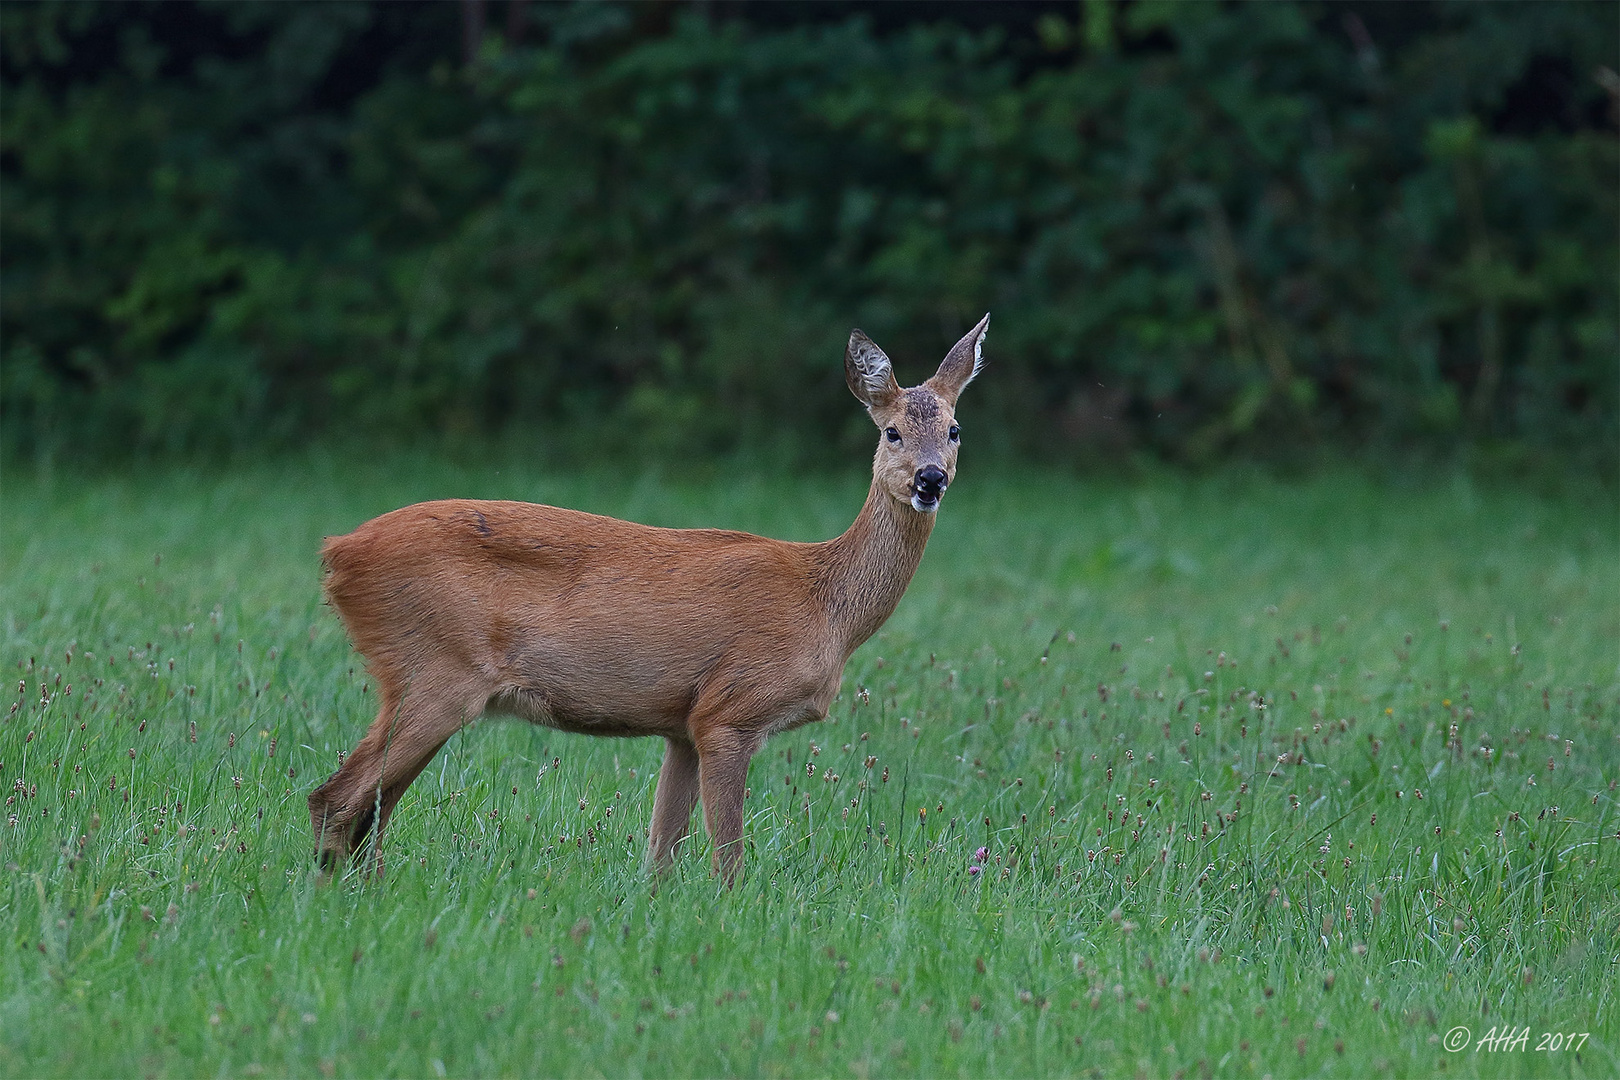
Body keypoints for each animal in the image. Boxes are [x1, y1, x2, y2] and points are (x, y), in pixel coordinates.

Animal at [304, 310, 984, 880]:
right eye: (892, 432)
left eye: (954, 429)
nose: (930, 479)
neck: (826, 603)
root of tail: (338, 552)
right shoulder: (729, 710)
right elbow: (727, 856)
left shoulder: (681, 725)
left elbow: (660, 855)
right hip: (433, 670)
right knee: (336, 798)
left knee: (369, 806)